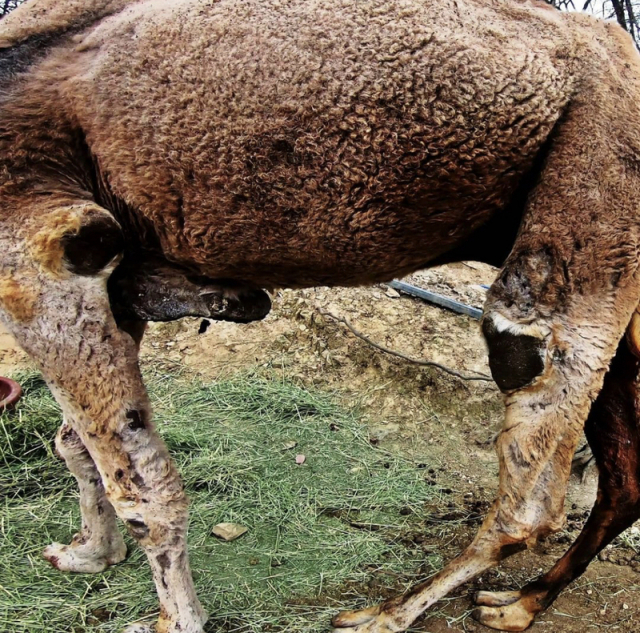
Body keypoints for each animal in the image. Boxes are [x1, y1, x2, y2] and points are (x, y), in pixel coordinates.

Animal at [1, 0, 640, 628]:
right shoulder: (117, 270)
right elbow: (73, 441)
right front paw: (88, 553)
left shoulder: (43, 248)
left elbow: (143, 492)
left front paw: (174, 619)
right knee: (621, 481)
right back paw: (519, 603)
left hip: (591, 196)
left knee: (529, 467)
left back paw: (389, 614)